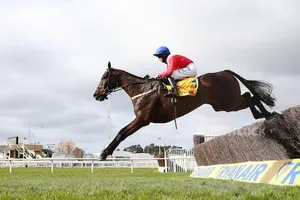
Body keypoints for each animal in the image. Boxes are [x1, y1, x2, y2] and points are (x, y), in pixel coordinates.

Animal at [92, 61, 276, 160]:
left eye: (103, 77)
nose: (96, 94)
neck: (142, 90)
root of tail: (225, 72)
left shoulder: (142, 119)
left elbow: (121, 133)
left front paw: (104, 153)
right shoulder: (141, 119)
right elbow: (121, 132)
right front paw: (105, 152)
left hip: (228, 103)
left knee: (252, 97)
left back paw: (267, 114)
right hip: (222, 105)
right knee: (249, 96)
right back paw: (262, 114)